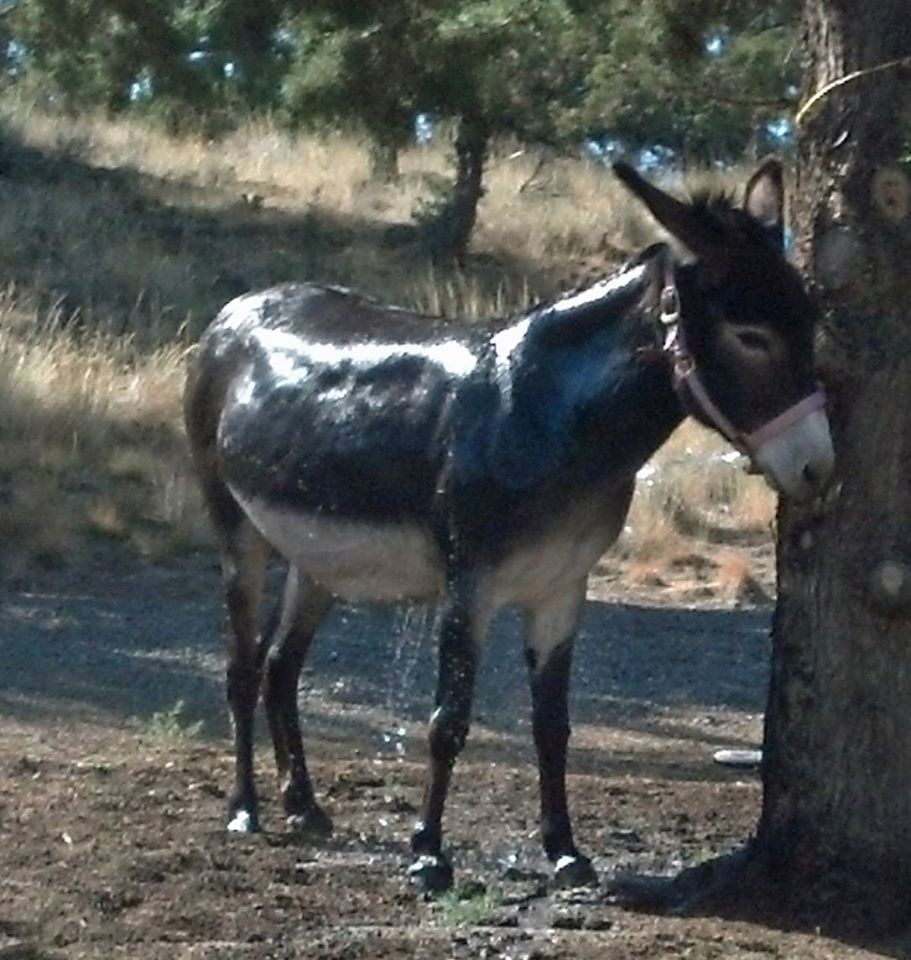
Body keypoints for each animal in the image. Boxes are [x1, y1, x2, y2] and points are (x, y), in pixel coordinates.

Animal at [184, 159, 834, 893]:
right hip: (236, 526)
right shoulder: (469, 583)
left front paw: (566, 851)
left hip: (317, 554)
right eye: (749, 336)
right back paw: (244, 809)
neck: (550, 414)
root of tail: (238, 308)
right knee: (241, 665)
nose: (818, 467)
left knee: (279, 665)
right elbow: (448, 721)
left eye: (810, 320)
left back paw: (303, 805)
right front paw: (428, 854)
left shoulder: (562, 587)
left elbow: (552, 726)